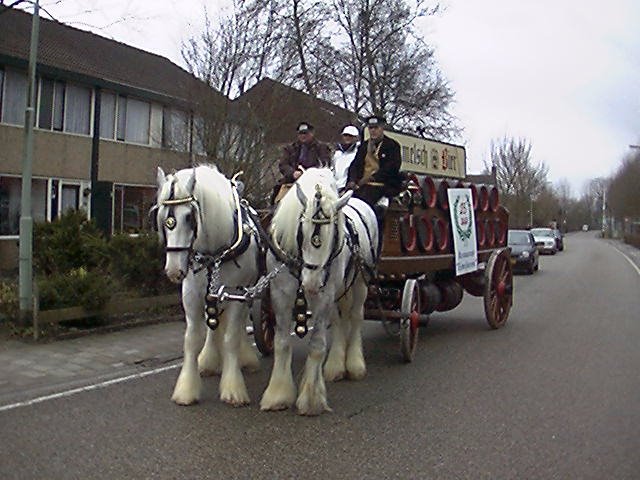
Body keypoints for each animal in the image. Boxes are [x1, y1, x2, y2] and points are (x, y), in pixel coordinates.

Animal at [152, 165, 260, 404]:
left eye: (189, 217)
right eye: (162, 217)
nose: (174, 270)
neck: (216, 253)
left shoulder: (236, 295)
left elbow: (231, 338)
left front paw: (232, 388)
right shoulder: (192, 295)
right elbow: (192, 339)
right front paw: (186, 389)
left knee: (237, 326)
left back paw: (245, 358)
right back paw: (209, 361)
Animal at [262, 168, 380, 412]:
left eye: (333, 233)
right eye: (302, 229)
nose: (312, 283)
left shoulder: (324, 297)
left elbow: (317, 345)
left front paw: (311, 399)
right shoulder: (280, 295)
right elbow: (282, 343)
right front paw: (278, 394)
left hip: (360, 283)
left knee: (356, 317)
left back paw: (354, 364)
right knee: (339, 320)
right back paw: (336, 365)